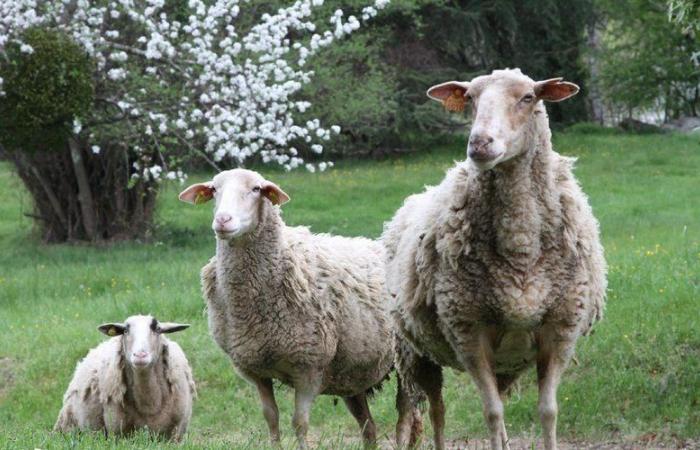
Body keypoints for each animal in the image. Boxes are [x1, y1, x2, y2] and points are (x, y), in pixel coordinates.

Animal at [53, 314, 196, 442]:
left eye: (157, 329)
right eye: (125, 331)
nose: (140, 355)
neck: (149, 404)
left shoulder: (175, 435)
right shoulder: (117, 433)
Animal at [180, 170, 422, 450]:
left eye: (256, 189)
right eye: (214, 189)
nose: (222, 220)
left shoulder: (308, 366)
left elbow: (299, 423)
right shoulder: (255, 370)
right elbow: (271, 417)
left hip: (406, 357)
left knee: (404, 418)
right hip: (353, 372)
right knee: (370, 427)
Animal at [382, 67, 608, 450]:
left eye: (528, 97)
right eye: (470, 98)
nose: (479, 144)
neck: (521, 253)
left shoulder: (561, 330)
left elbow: (548, 412)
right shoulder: (468, 332)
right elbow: (492, 414)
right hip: (414, 350)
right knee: (430, 410)